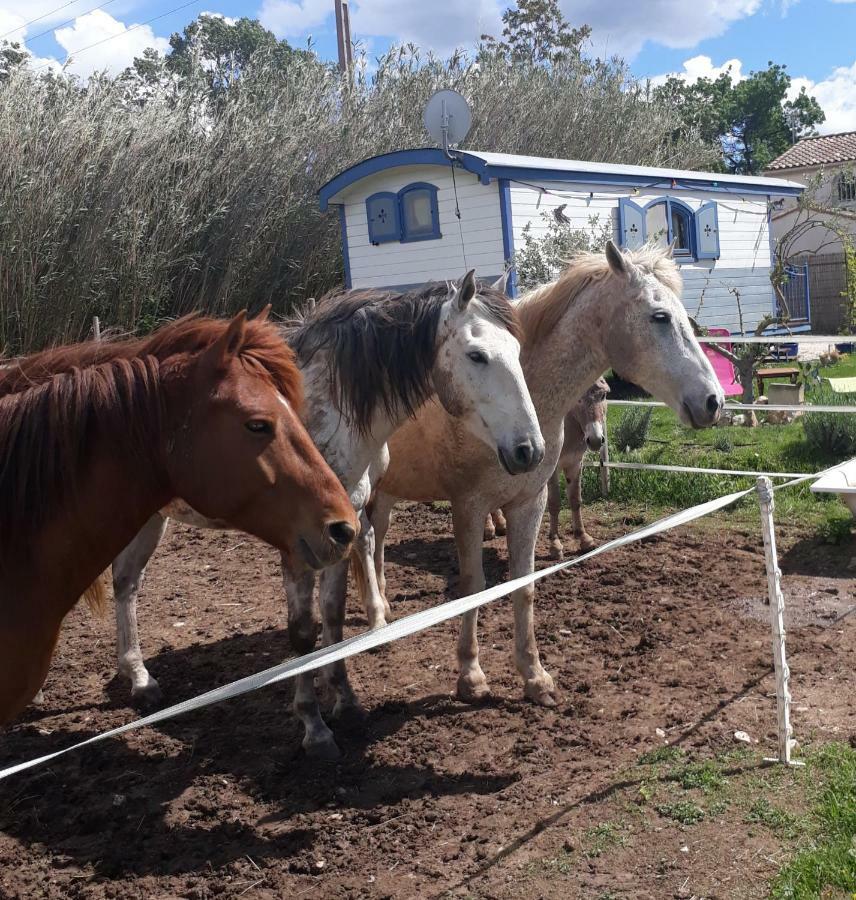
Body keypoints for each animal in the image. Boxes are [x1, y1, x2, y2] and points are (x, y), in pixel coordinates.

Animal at [358, 243, 724, 708]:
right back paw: (375, 620)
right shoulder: (468, 507)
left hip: (386, 493)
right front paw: (471, 677)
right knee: (362, 544)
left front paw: (535, 677)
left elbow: (523, 584)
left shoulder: (527, 503)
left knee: (377, 541)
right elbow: (473, 586)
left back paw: (385, 608)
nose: (713, 401)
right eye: (659, 316)